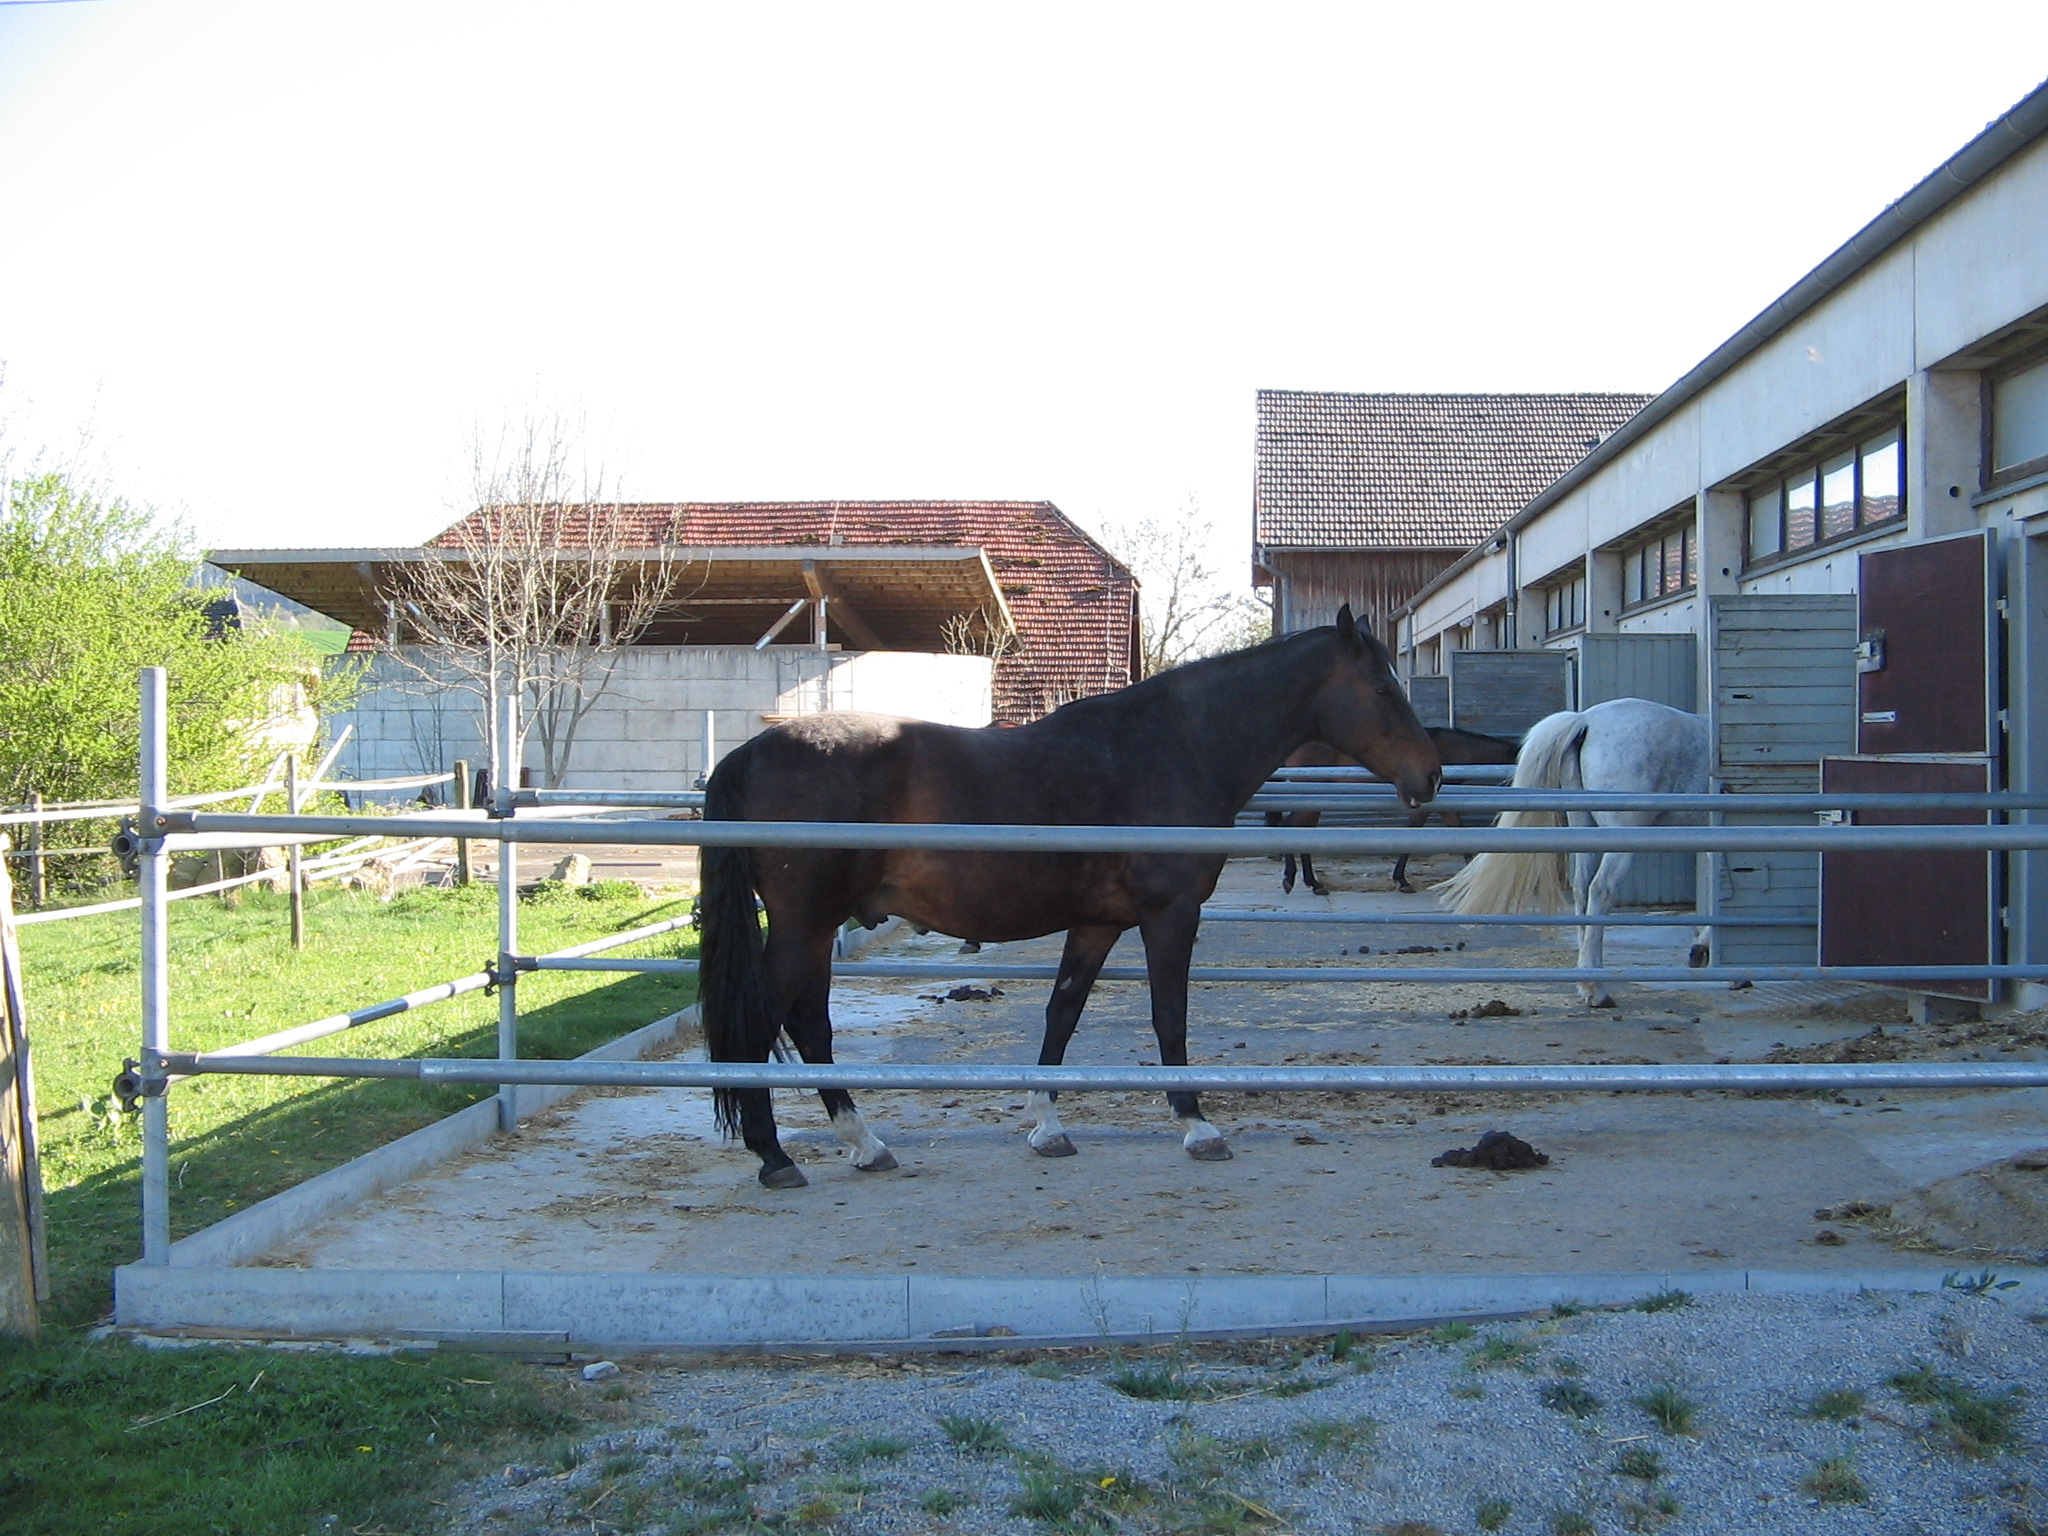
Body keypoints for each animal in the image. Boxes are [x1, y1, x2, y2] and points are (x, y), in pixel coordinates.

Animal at [696, 607, 1441, 1188]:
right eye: (1382, 686)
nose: (1430, 775)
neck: (1174, 746)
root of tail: (748, 753)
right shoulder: (1170, 916)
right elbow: (1169, 1018)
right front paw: (1197, 1126)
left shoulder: (1096, 926)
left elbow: (1062, 1016)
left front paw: (1047, 1126)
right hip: (805, 924)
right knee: (767, 1022)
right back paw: (775, 1155)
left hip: (818, 928)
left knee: (811, 1025)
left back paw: (864, 1143)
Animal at [1264, 727, 1522, 896]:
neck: (1448, 750)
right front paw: (1402, 881)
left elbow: (1458, 831)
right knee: (1291, 827)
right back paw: (1292, 879)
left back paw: (1313, 883)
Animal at [1433, 697, 1711, 1007]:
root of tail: (1584, 720)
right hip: (1621, 834)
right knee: (1601, 889)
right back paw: (1596, 990)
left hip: (1586, 825)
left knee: (1582, 889)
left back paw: (1588, 982)